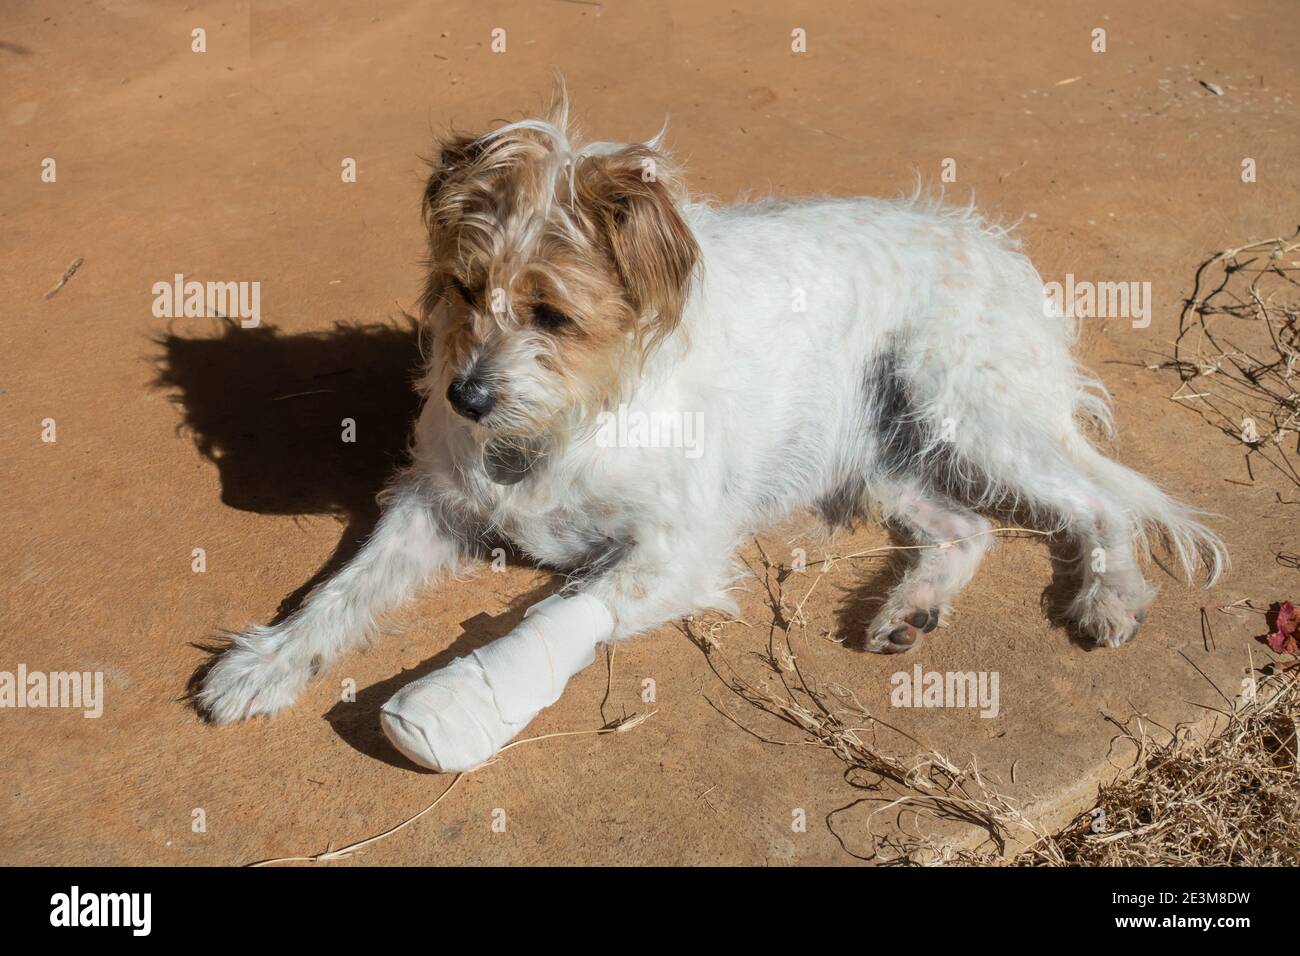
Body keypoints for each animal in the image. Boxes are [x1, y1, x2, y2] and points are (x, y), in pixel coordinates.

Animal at [197, 97, 1222, 770]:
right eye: (463, 288)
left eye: (551, 314)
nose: (464, 399)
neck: (571, 418)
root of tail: (998, 248)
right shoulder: (436, 503)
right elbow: (344, 590)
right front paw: (266, 664)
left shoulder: (676, 546)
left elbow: (559, 609)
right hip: (879, 458)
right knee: (966, 527)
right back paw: (910, 609)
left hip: (967, 408)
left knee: (1100, 503)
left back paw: (1111, 596)